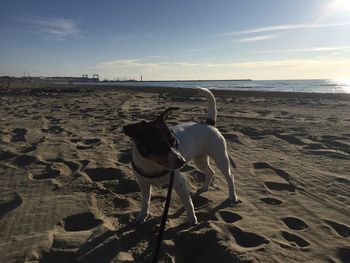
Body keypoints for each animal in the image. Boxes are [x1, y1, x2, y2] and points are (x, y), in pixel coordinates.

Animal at [123, 88, 238, 225]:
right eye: (158, 145)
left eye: (176, 143)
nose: (182, 162)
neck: (152, 165)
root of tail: (209, 124)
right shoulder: (143, 184)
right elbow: (145, 201)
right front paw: (142, 216)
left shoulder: (179, 183)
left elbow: (188, 202)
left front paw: (192, 219)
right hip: (200, 160)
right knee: (211, 172)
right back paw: (204, 188)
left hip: (220, 158)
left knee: (230, 177)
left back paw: (232, 197)